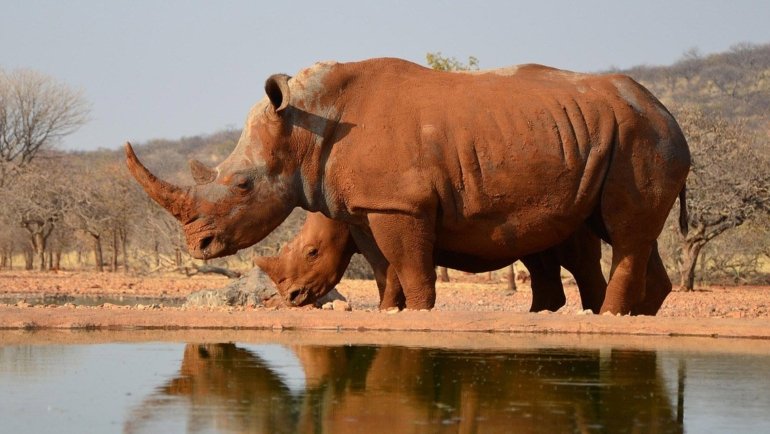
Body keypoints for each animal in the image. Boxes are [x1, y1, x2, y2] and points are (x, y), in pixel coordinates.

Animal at [254, 212, 607, 312]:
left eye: (312, 252)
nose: (291, 298)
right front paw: (394, 309)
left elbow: (386, 271)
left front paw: (388, 310)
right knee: (539, 258)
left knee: (577, 261)